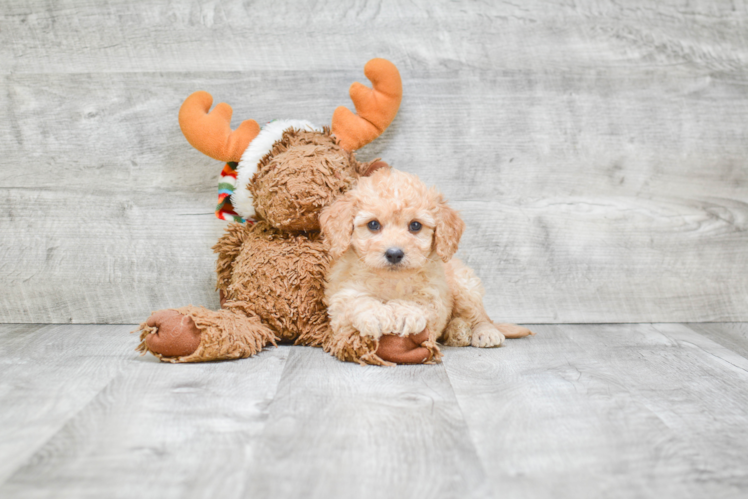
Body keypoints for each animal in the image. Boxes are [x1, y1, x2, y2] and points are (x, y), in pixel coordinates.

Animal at [318, 166, 536, 366]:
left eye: (415, 225)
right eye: (373, 224)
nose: (394, 253)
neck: (391, 280)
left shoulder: (435, 293)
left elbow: (421, 300)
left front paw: (404, 314)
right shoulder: (341, 298)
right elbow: (356, 301)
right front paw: (377, 314)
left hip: (465, 286)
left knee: (480, 316)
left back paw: (481, 332)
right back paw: (457, 331)